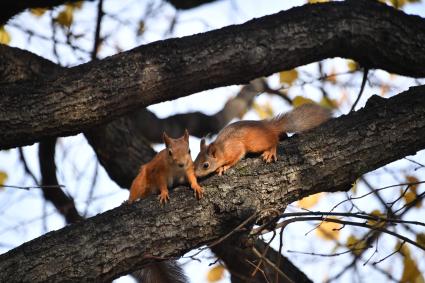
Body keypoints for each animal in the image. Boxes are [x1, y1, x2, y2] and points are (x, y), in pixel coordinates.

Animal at [194, 104, 330, 178]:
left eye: (206, 165)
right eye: (194, 162)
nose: (195, 175)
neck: (221, 149)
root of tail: (269, 126)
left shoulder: (235, 148)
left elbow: (235, 158)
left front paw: (223, 167)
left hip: (256, 143)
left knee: (274, 140)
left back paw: (271, 151)